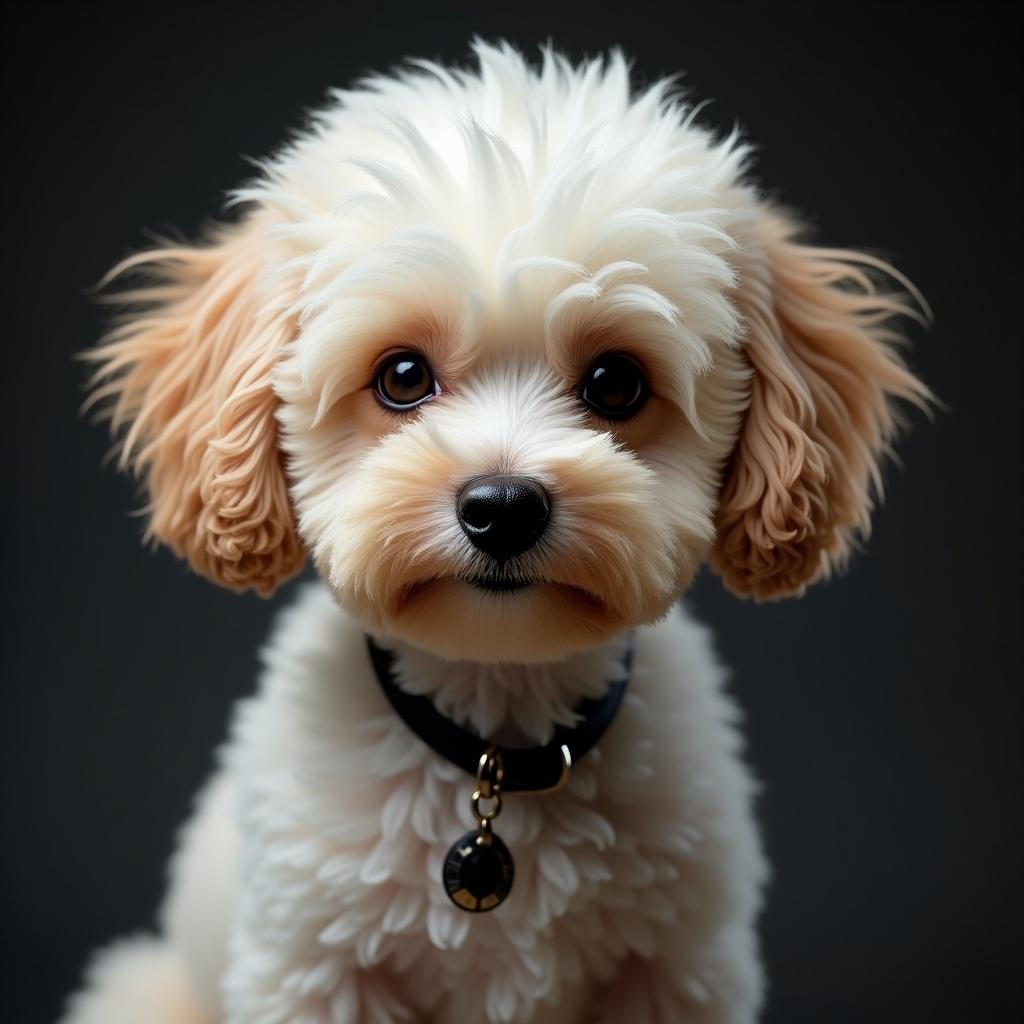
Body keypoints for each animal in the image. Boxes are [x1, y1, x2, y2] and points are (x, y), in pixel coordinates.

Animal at [61, 39, 929, 1024]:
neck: (497, 748)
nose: (504, 506)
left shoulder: (676, 972)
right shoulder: (315, 975)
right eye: (401, 376)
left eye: (616, 383)